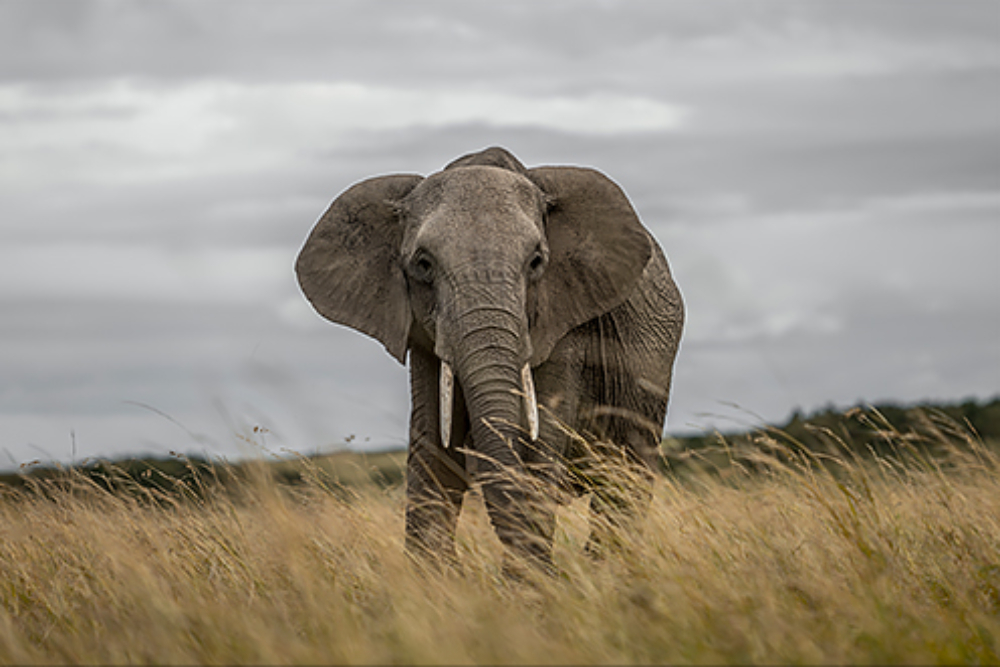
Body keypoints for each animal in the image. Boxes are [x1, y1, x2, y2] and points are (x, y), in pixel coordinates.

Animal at [296, 147, 684, 568]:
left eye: (536, 262)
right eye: (423, 264)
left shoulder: (563, 323)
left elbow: (536, 447)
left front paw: (532, 580)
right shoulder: (424, 340)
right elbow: (434, 448)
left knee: (624, 480)